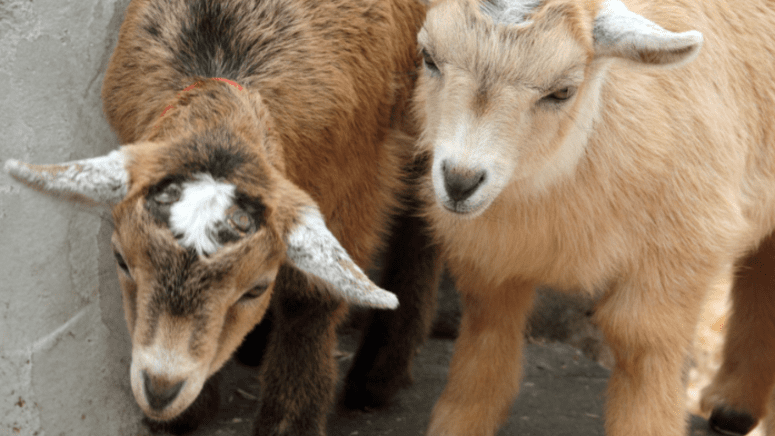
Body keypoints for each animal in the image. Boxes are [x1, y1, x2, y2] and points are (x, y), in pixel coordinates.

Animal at [1, 0, 442, 434]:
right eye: (121, 261)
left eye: (257, 288)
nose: (161, 388)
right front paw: (189, 413)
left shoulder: (356, 174)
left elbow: (312, 299)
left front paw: (289, 421)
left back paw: (380, 373)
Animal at [416, 0, 775, 436]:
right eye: (428, 58)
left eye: (562, 91)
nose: (460, 181)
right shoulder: (490, 254)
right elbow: (489, 319)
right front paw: (459, 420)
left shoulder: (682, 248)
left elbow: (641, 344)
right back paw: (734, 406)